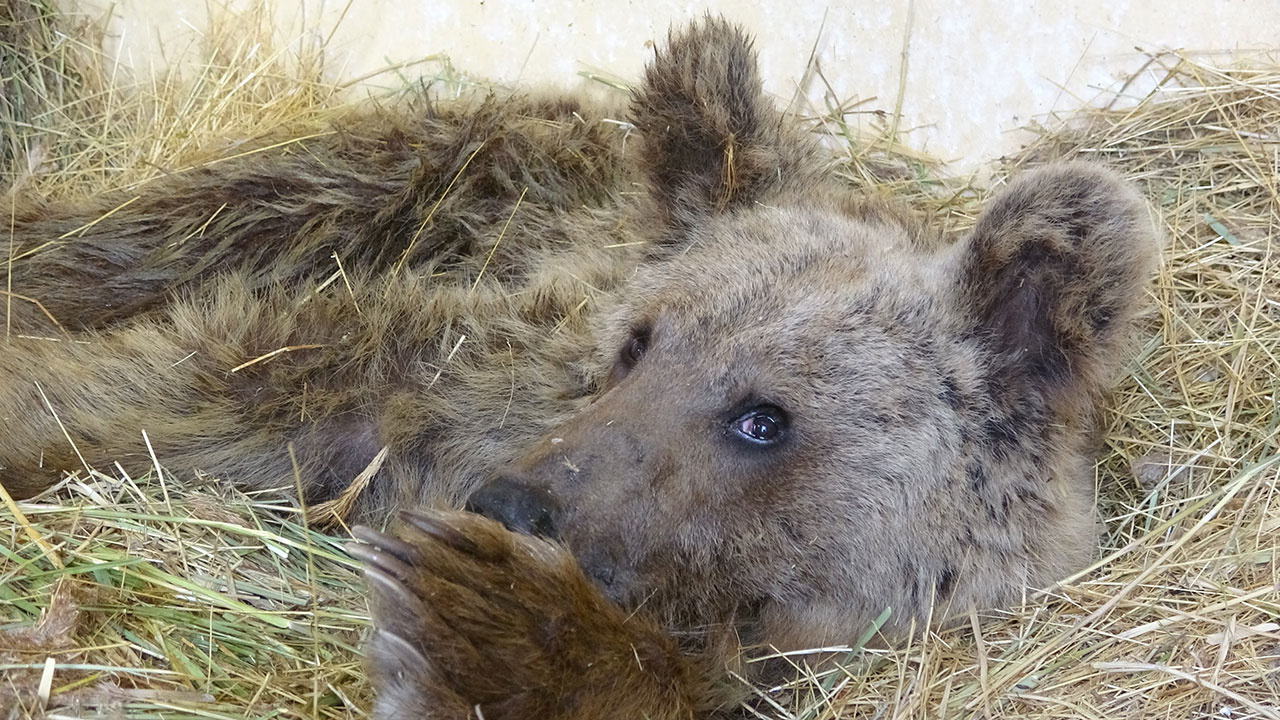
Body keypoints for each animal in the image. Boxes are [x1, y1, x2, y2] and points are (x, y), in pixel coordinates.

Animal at [0, 14, 1157, 712]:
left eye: (762, 417)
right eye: (639, 343)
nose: (517, 500)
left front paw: (484, 609)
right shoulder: (446, 361)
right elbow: (221, 379)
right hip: (404, 180)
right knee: (160, 231)